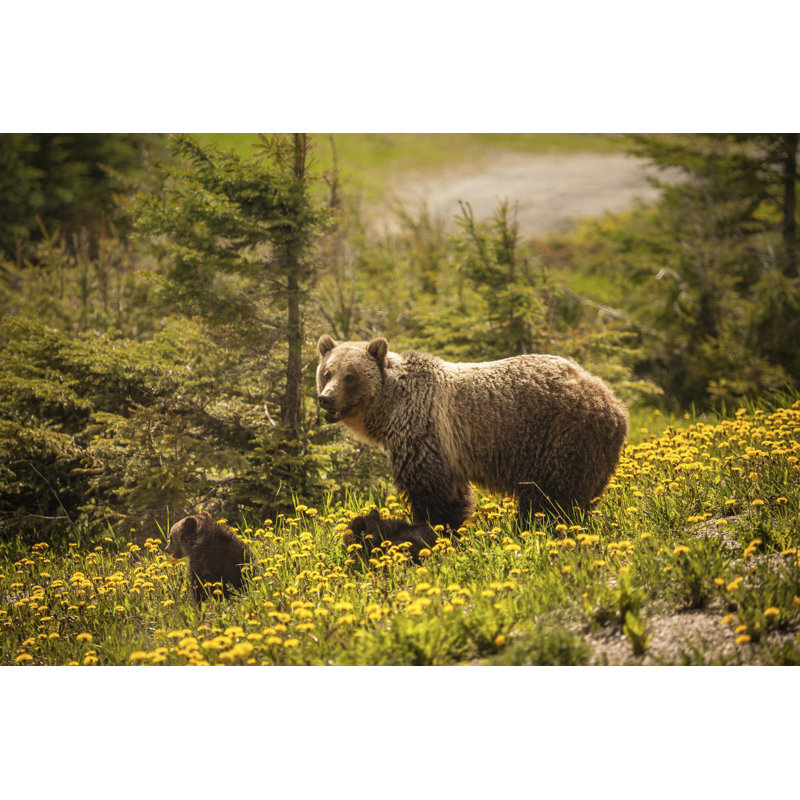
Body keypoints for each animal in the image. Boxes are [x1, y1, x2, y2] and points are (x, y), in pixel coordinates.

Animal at [317, 335, 628, 532]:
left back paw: (532, 528)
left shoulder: (422, 431)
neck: (391, 407)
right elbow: (454, 495)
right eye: (327, 372)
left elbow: (429, 491)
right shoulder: (446, 451)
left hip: (560, 436)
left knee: (550, 496)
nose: (325, 399)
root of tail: (613, 403)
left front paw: (432, 528)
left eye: (350, 376)